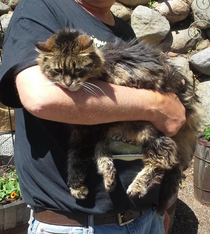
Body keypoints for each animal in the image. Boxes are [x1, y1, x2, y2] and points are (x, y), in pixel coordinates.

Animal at [35, 28, 201, 211]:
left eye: (78, 69)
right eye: (58, 71)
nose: (67, 83)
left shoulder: (89, 130)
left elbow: (78, 157)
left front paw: (78, 185)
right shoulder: (92, 130)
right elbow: (90, 154)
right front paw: (98, 177)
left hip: (152, 132)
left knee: (163, 160)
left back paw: (136, 187)